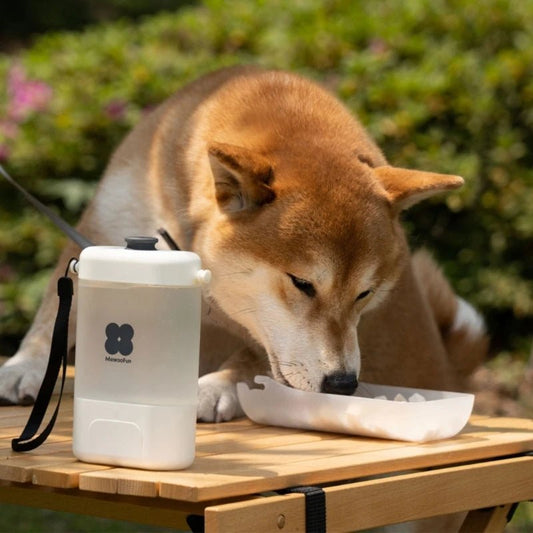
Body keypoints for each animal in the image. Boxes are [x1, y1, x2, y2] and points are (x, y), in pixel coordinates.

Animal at [0, 67, 486, 424]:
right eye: (303, 283)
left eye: (365, 294)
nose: (343, 385)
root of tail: (451, 368)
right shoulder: (101, 233)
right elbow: (53, 313)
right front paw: (24, 366)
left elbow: (258, 354)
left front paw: (218, 385)